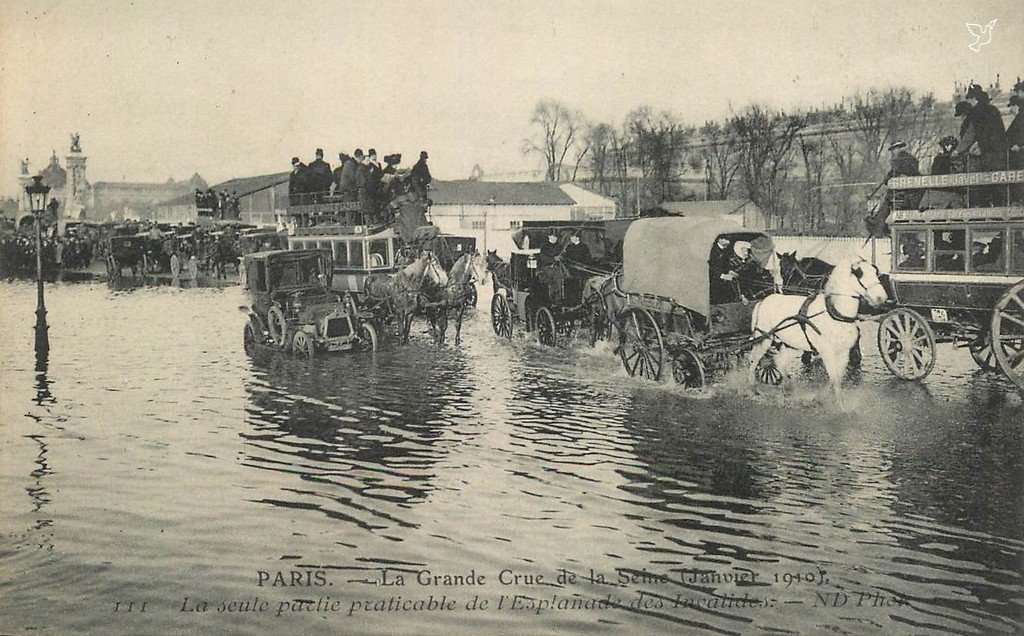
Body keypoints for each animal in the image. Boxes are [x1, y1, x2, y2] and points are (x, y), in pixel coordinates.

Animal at [745, 258, 888, 391]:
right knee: (755, 360)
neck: (833, 312)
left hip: (789, 343)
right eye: (859, 274)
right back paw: (753, 385)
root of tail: (763, 301)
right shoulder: (828, 351)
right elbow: (834, 378)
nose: (881, 297)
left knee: (780, 362)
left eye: (875, 272)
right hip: (764, 338)